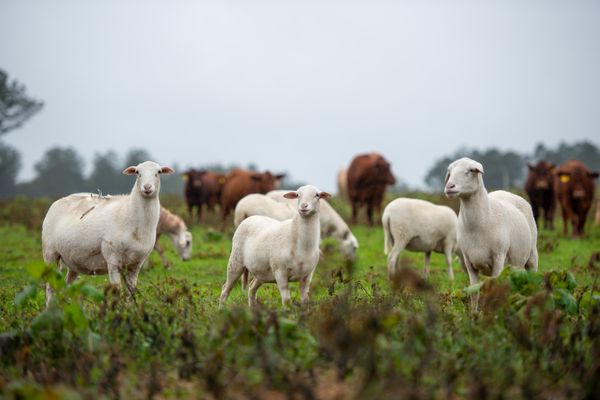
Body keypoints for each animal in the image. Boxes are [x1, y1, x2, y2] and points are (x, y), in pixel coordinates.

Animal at [42, 161, 174, 306]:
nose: (147, 187)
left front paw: (129, 309)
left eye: (159, 172)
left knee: (66, 286)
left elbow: (131, 293)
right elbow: (117, 291)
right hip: (50, 254)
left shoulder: (136, 264)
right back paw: (49, 307)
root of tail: (57, 202)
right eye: (137, 172)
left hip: (73, 262)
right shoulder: (113, 259)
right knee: (50, 287)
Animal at [444, 157, 538, 309]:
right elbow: (474, 293)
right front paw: (474, 314)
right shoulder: (469, 262)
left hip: (532, 256)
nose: (449, 186)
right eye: (450, 172)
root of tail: (506, 192)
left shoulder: (499, 258)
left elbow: (494, 290)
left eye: (470, 170)